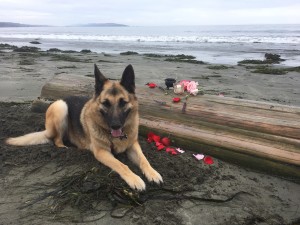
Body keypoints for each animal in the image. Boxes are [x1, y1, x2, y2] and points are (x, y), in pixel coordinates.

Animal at [5, 64, 163, 191]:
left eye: (123, 102)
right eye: (106, 103)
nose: (115, 125)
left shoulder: (132, 145)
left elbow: (144, 159)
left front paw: (153, 173)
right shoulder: (102, 152)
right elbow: (122, 165)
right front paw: (135, 179)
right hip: (61, 107)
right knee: (56, 140)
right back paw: (67, 147)